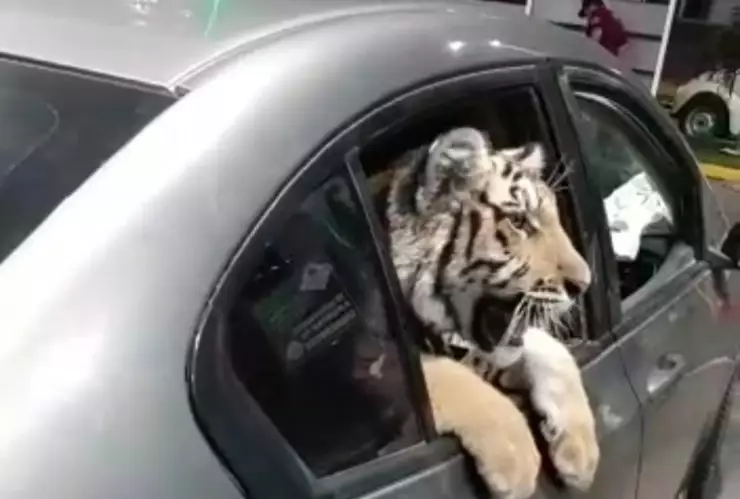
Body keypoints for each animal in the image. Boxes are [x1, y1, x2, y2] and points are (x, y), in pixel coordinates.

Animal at [384, 127, 599, 499]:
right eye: (518, 222)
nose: (583, 284)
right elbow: (440, 373)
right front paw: (517, 462)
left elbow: (549, 348)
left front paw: (580, 452)